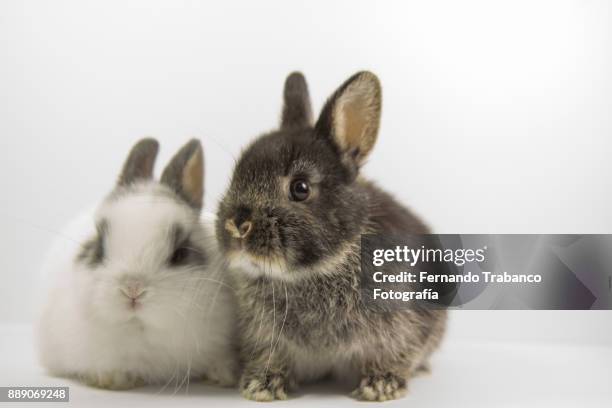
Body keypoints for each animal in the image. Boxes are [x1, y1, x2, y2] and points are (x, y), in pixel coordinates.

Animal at [218, 71, 448, 400]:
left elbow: (393, 354)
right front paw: (263, 386)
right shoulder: (263, 335)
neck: (318, 270)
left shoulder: (402, 326)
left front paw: (381, 386)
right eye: (236, 175)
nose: (237, 225)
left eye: (300, 188)